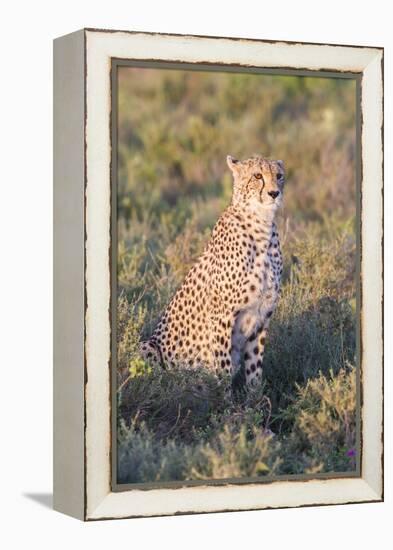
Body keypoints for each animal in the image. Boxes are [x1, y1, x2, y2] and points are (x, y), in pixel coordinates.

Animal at [141, 155, 284, 388]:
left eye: (279, 176)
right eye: (257, 176)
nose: (274, 193)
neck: (261, 226)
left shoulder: (262, 317)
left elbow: (254, 372)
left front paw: (257, 399)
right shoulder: (222, 317)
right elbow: (223, 370)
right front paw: (224, 398)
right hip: (147, 346)